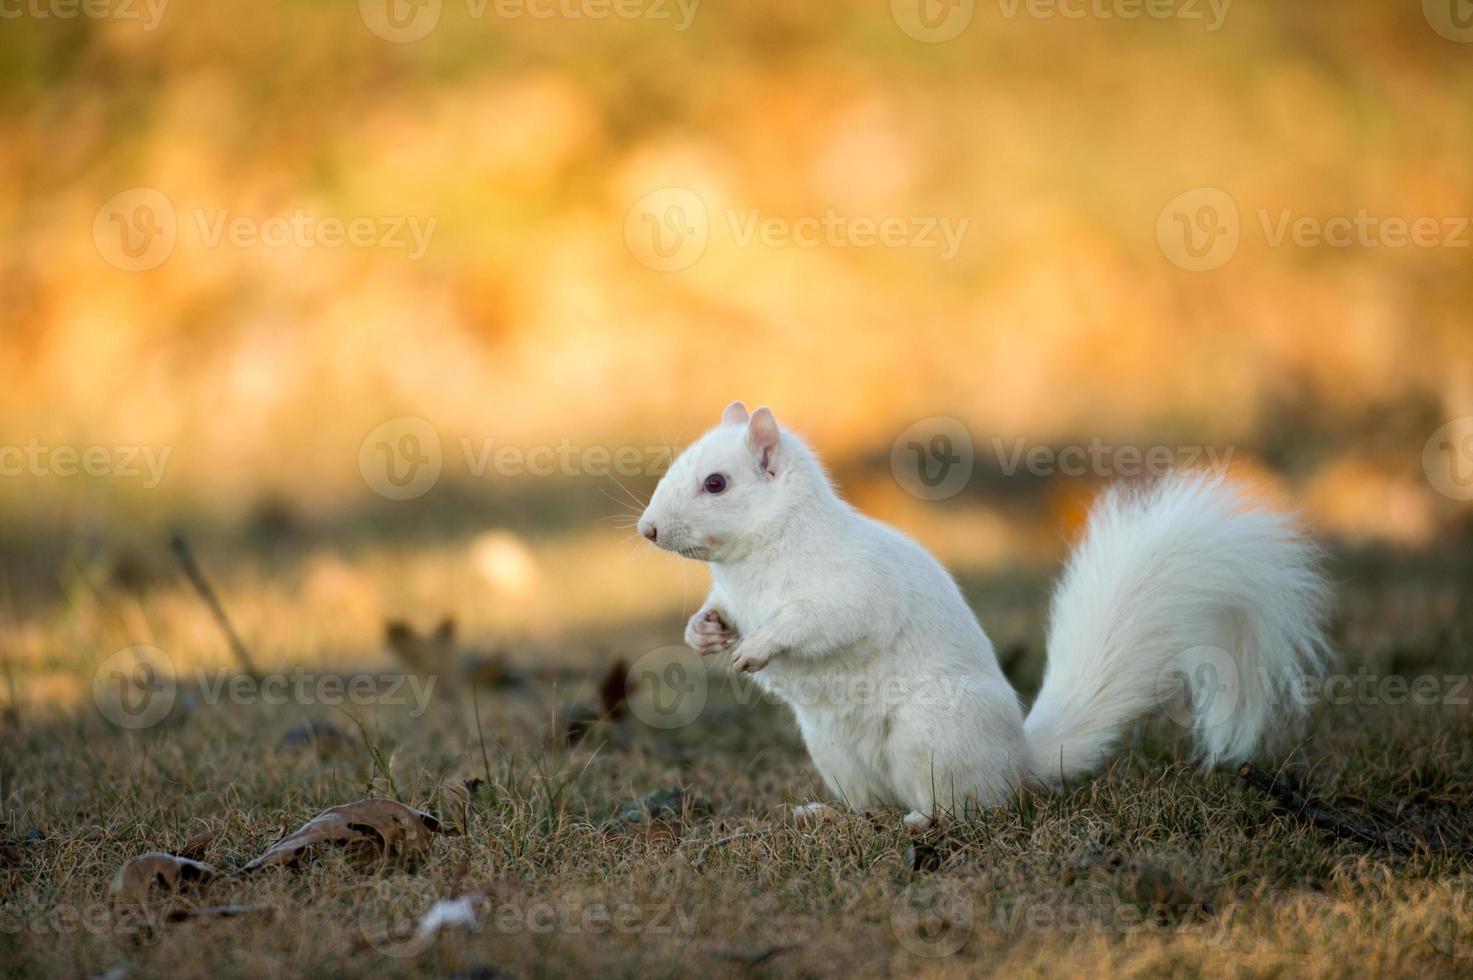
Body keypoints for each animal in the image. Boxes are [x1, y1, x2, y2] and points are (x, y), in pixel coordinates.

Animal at [637, 402, 1333, 831]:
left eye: (716, 483)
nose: (647, 530)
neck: (750, 562)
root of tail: (1020, 760)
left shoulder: (848, 588)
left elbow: (819, 623)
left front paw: (755, 651)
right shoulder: (735, 596)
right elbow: (720, 613)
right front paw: (702, 635)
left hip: (934, 736)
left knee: (973, 806)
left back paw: (927, 819)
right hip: (835, 752)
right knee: (873, 807)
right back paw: (828, 816)